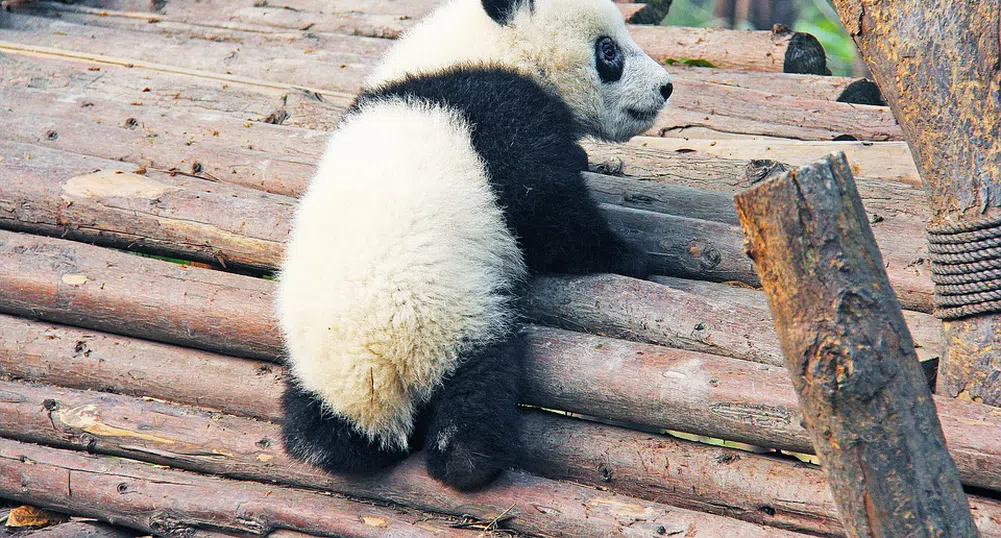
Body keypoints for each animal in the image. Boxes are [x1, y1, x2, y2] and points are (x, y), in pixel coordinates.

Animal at [276, 0, 672, 490]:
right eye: (608, 51)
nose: (665, 87)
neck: (484, 49)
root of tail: (375, 369)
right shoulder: (501, 115)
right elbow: (549, 215)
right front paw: (631, 255)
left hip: (317, 367)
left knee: (317, 429)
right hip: (454, 318)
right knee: (478, 387)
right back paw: (471, 459)